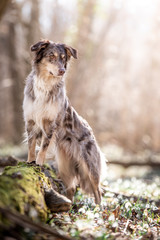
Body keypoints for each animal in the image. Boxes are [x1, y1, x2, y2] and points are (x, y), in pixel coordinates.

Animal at [23, 39, 106, 204]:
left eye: (63, 58)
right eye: (51, 56)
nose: (62, 71)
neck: (45, 83)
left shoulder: (50, 123)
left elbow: (43, 147)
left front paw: (39, 163)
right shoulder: (30, 121)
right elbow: (31, 145)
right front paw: (30, 162)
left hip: (90, 166)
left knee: (98, 191)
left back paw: (98, 210)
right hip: (64, 166)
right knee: (72, 188)